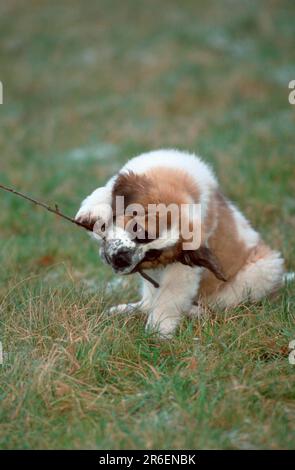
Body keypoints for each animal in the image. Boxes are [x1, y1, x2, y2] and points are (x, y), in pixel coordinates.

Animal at [75, 151, 284, 338]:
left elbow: (170, 296)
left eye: (153, 255)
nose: (122, 259)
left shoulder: (183, 270)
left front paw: (158, 332)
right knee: (149, 301)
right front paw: (93, 212)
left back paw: (195, 312)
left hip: (265, 268)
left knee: (223, 303)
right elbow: (105, 191)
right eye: (137, 229)